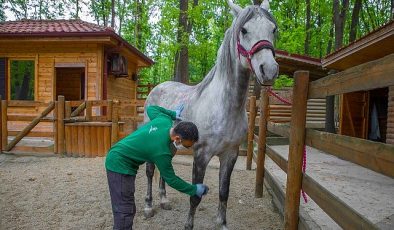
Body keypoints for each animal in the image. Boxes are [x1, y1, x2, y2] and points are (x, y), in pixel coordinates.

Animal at [143, 0, 278, 229]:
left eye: (273, 29)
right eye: (244, 30)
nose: (268, 70)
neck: (224, 107)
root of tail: (157, 88)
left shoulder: (230, 155)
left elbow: (224, 192)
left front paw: (221, 223)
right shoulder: (202, 155)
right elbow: (195, 196)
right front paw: (188, 225)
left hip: (171, 144)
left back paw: (164, 200)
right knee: (151, 170)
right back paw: (149, 206)